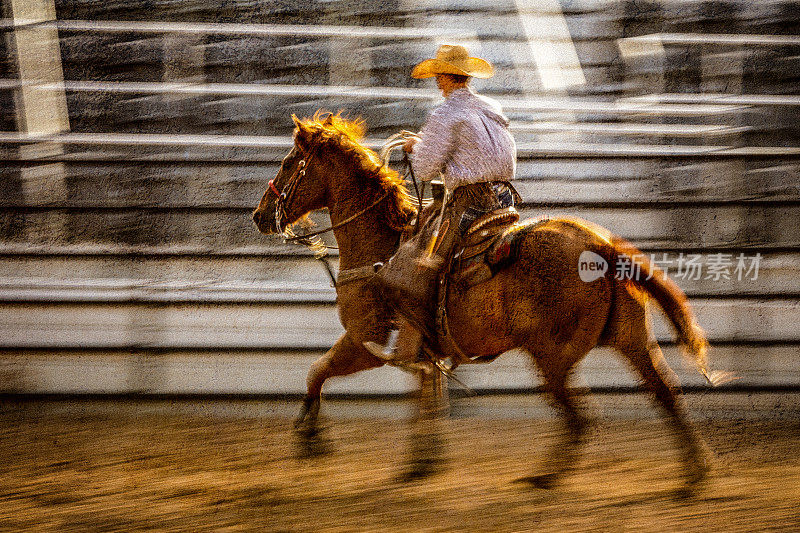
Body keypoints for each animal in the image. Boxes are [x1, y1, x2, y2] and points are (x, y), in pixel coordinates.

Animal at [253, 113, 716, 490]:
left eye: (289, 163)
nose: (259, 216)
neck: (381, 247)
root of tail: (602, 245)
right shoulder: (423, 348)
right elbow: (427, 394)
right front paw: (423, 461)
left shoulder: (366, 339)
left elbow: (317, 370)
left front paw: (310, 435)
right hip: (631, 340)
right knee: (666, 393)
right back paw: (695, 472)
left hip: (552, 355)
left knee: (581, 419)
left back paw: (545, 478)